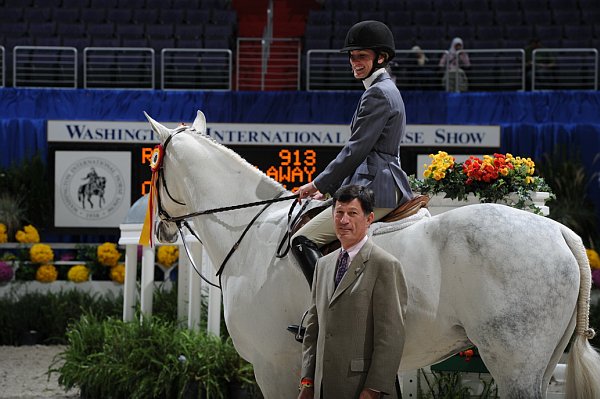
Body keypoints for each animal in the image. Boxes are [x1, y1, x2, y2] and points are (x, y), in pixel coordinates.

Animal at [145, 111, 600, 399]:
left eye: (152, 165)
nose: (161, 231)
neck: (251, 232)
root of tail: (559, 231)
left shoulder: (272, 365)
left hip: (514, 361)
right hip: (541, 362)